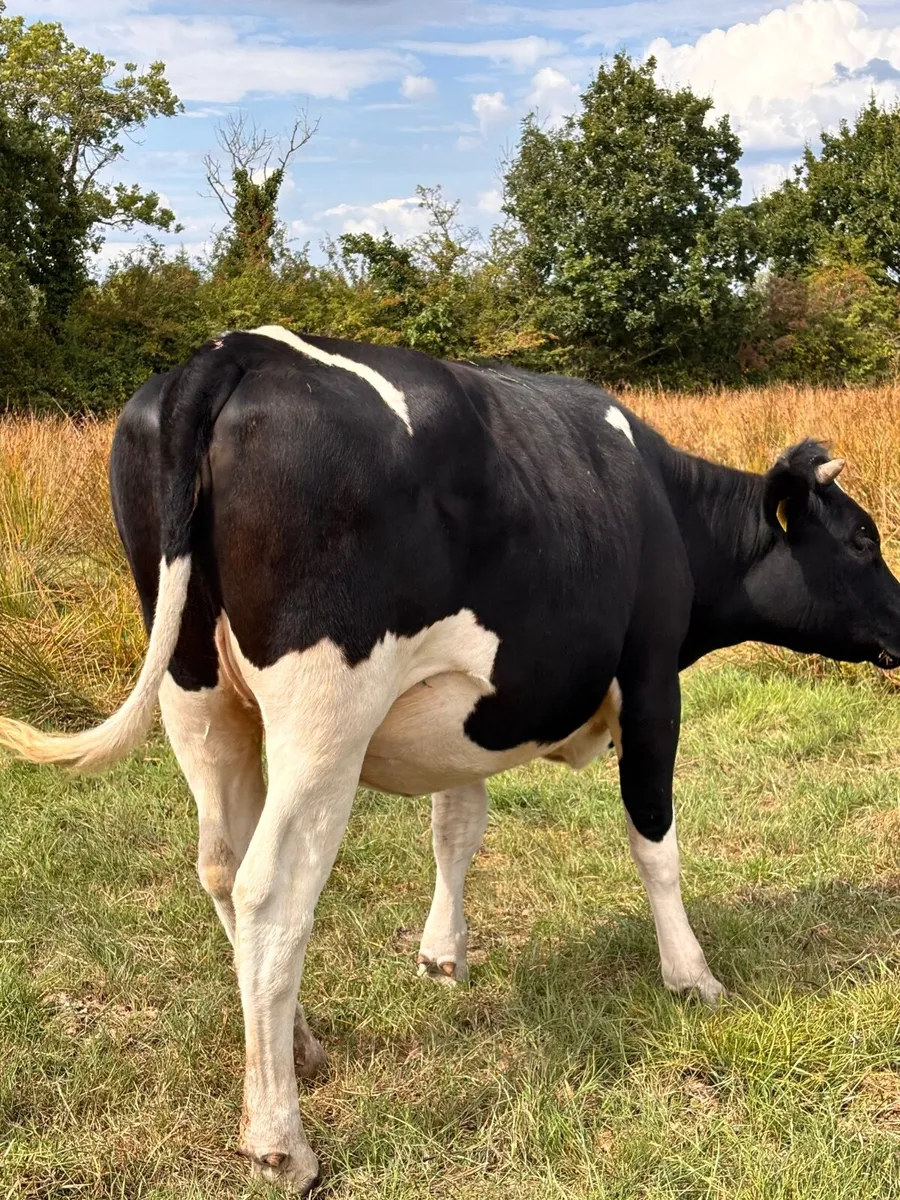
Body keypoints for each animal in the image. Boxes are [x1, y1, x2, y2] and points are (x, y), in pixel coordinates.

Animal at [2, 325, 899, 1193]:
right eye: (863, 536)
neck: (666, 506)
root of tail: (232, 351)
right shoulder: (651, 680)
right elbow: (655, 839)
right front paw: (692, 977)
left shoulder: (466, 717)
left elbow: (456, 828)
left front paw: (442, 956)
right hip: (325, 710)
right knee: (270, 890)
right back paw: (280, 1142)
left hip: (198, 690)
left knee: (222, 865)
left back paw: (297, 1050)